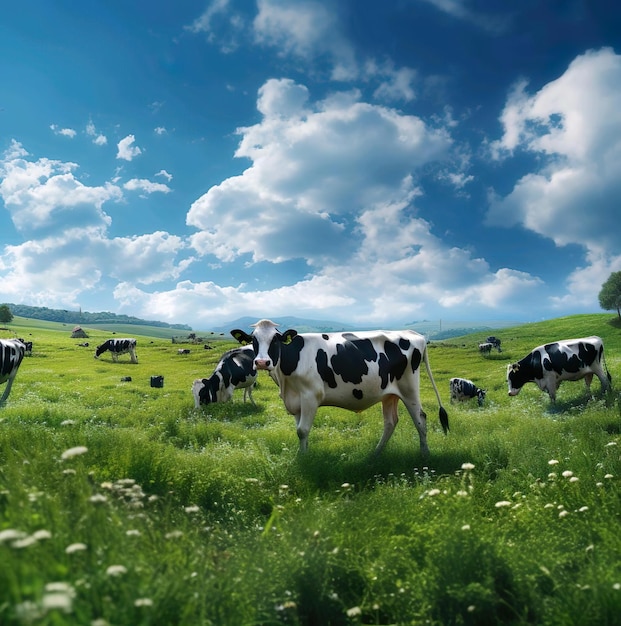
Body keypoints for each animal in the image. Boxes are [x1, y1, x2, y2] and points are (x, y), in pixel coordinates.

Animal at [230, 320, 448, 456]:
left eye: (275, 340)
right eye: (253, 340)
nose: (262, 362)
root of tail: (414, 334)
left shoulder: (310, 396)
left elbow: (302, 430)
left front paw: (302, 459)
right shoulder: (296, 400)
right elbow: (300, 430)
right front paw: (304, 454)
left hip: (409, 387)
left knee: (420, 418)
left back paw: (424, 455)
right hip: (389, 393)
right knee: (390, 422)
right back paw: (374, 455)